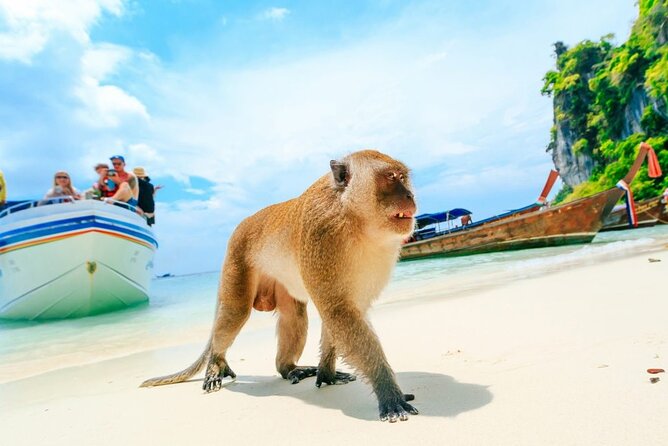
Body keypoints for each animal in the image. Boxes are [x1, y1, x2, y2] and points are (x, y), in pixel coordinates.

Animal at [141, 150, 419, 422]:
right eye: (391, 177)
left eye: (403, 178)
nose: (410, 195)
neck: (354, 218)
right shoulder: (322, 235)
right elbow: (338, 311)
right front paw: (388, 392)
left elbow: (340, 313)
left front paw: (327, 374)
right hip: (236, 261)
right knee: (235, 312)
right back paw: (216, 364)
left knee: (293, 315)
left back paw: (288, 368)